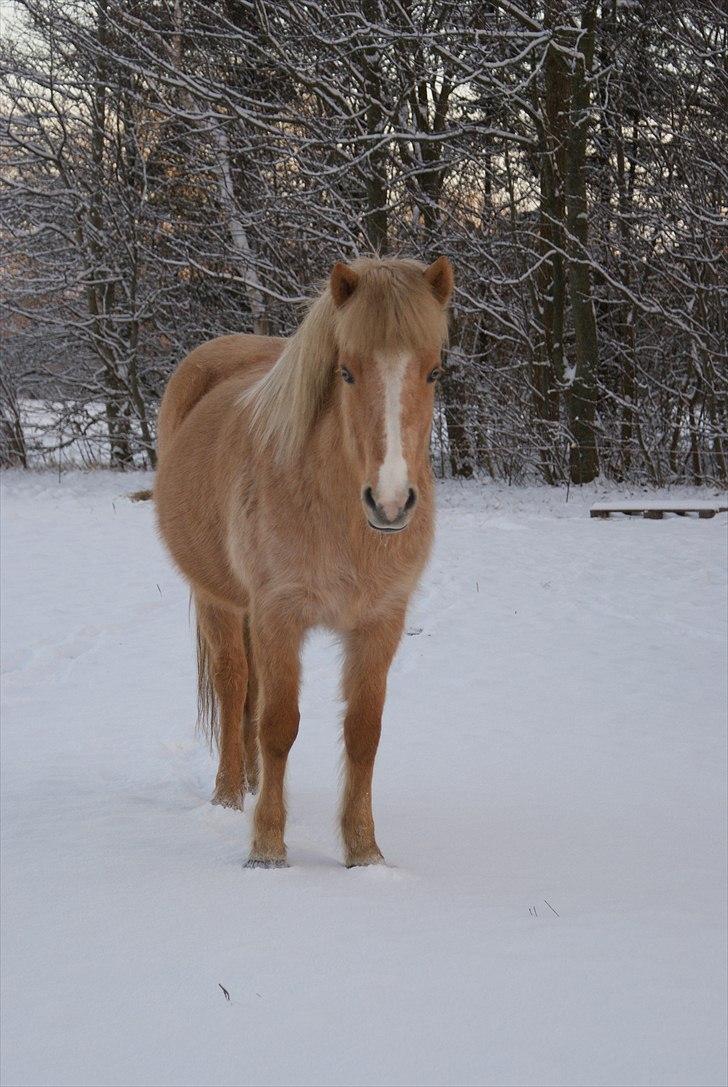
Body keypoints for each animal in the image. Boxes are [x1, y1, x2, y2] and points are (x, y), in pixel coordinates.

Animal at [155, 252, 456, 865]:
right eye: (346, 372)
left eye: (434, 372)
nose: (390, 501)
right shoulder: (279, 614)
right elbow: (278, 726)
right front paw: (267, 847)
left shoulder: (379, 623)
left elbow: (364, 732)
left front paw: (364, 851)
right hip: (220, 600)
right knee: (233, 685)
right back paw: (229, 797)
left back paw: (249, 785)